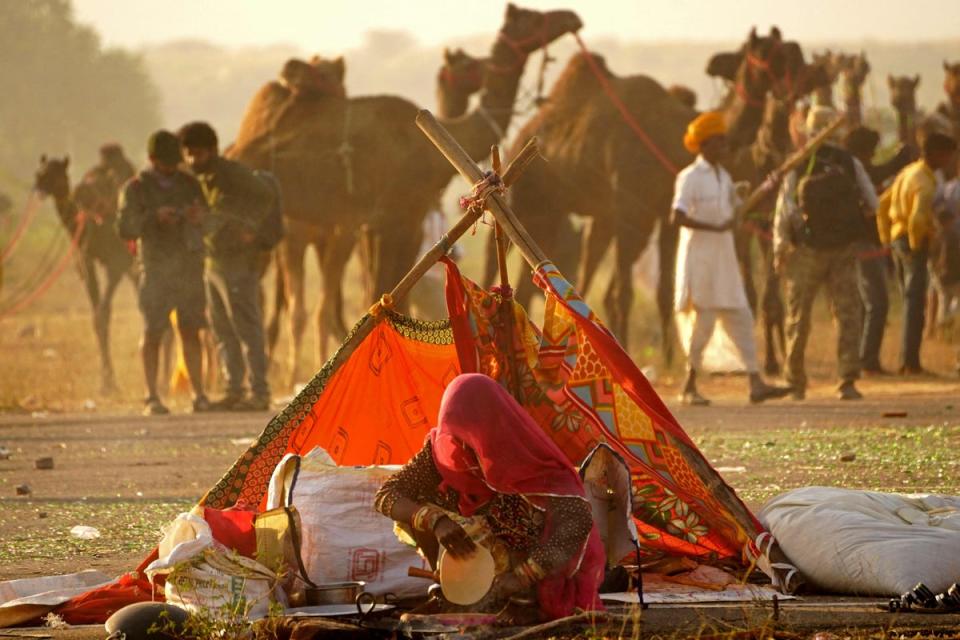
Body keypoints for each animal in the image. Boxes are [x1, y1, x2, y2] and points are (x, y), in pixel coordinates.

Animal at [34, 156, 137, 396]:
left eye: (55, 170)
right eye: (40, 169)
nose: (38, 182)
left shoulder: (117, 263)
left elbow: (103, 313)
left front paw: (109, 383)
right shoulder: (86, 262)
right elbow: (97, 317)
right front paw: (106, 383)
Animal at [229, 3, 580, 384]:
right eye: (531, 17)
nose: (572, 17)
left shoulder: (396, 223)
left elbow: (386, 290)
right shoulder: (396, 218)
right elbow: (383, 291)